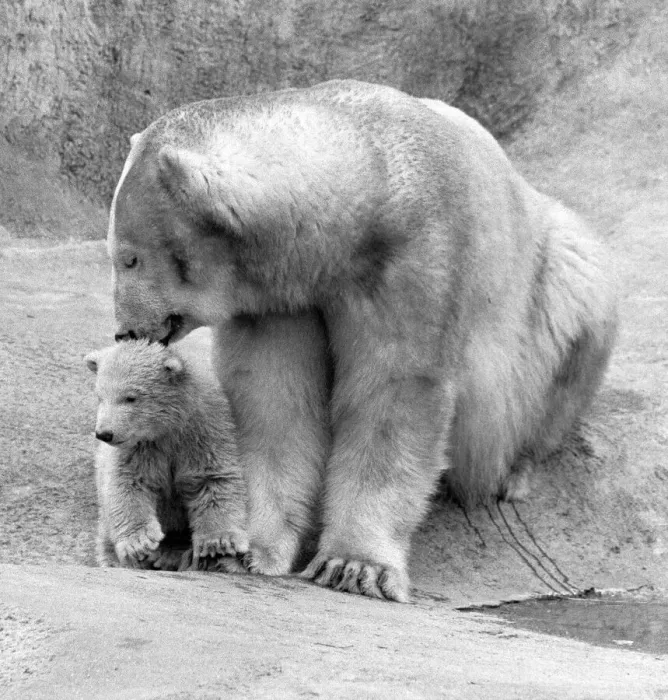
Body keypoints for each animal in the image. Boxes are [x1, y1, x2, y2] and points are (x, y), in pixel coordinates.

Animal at [86, 338, 249, 570]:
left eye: (131, 397)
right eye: (100, 397)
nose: (104, 433)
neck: (168, 429)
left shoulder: (205, 432)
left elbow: (213, 478)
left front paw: (219, 541)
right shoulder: (139, 447)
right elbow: (128, 482)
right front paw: (139, 543)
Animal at [107, 80, 617, 601]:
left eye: (129, 257)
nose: (126, 330)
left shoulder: (413, 257)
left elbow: (393, 393)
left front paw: (354, 565)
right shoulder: (281, 295)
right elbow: (274, 402)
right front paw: (242, 549)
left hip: (552, 279)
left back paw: (513, 471)